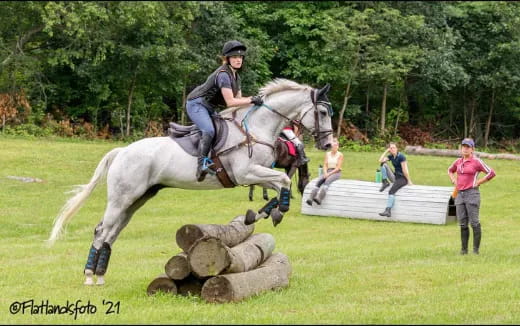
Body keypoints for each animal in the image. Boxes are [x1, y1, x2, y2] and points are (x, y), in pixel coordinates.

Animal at [48, 77, 334, 284]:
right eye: (322, 111)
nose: (329, 144)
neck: (256, 128)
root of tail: (122, 151)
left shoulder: (258, 173)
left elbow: (280, 185)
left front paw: (262, 213)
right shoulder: (246, 173)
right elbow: (283, 181)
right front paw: (276, 212)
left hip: (137, 199)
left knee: (112, 232)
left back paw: (100, 274)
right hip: (122, 198)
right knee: (102, 230)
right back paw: (89, 275)